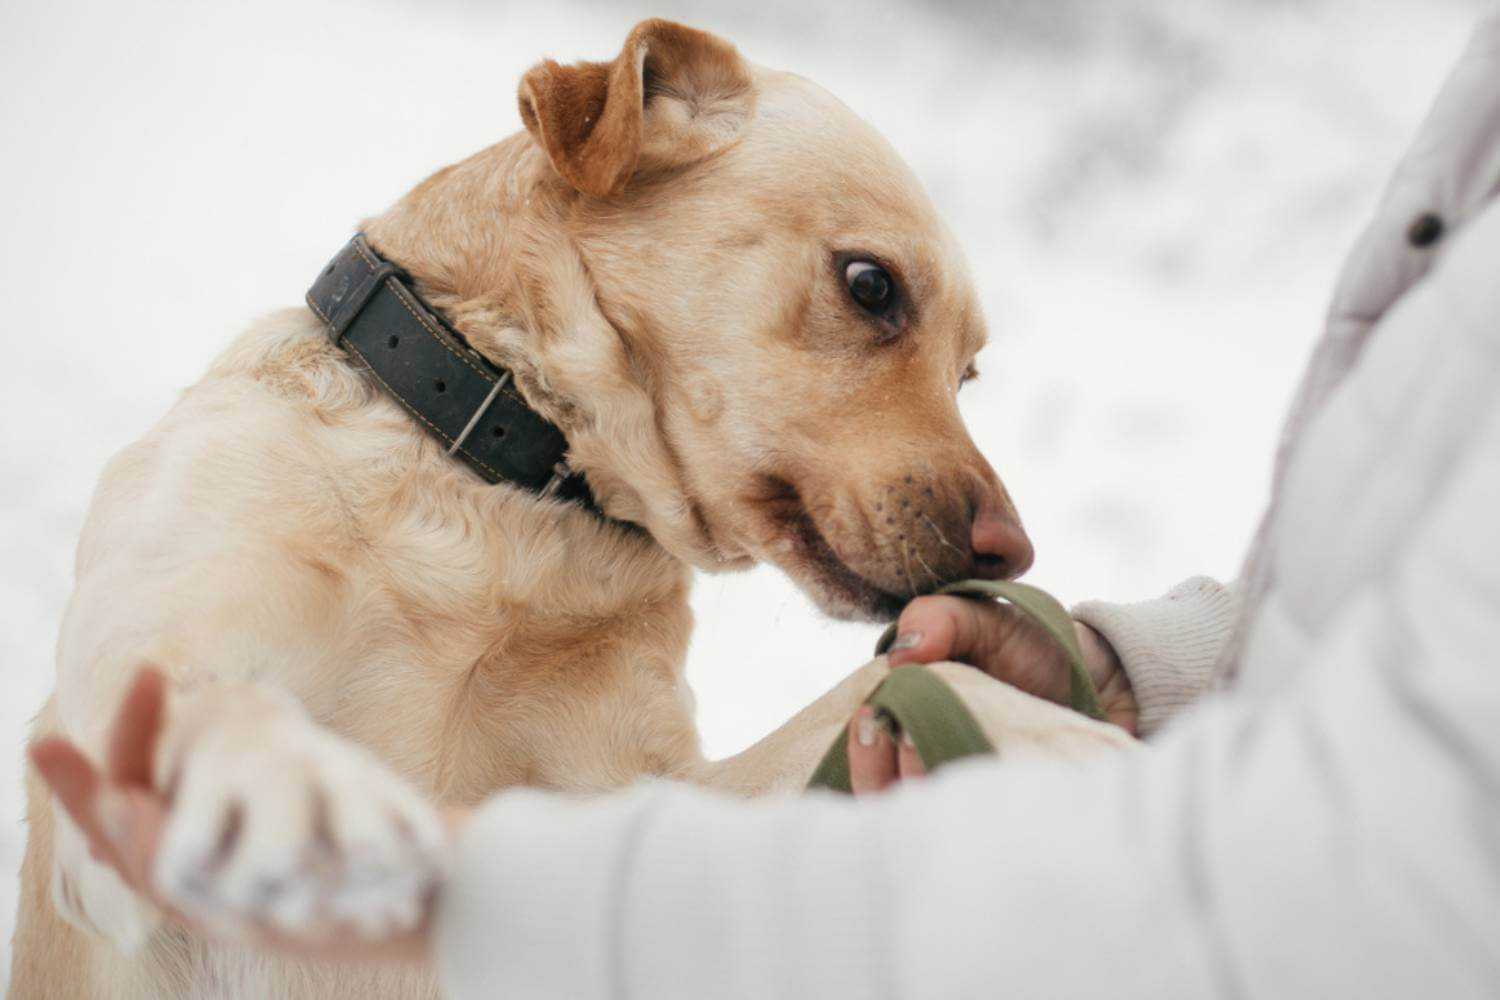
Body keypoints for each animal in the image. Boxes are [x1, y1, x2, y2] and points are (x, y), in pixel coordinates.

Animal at [11, 17, 1128, 1000]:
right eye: (870, 285)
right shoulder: (131, 719)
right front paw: (289, 788)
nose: (1014, 554)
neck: (504, 507)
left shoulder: (634, 820)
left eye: (968, 372)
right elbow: (203, 700)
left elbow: (898, 689)